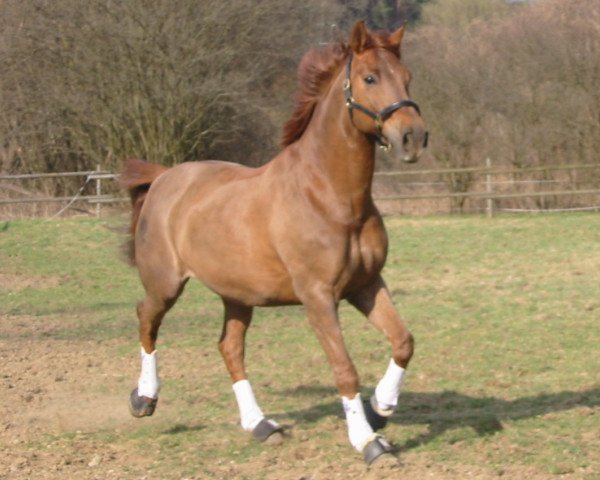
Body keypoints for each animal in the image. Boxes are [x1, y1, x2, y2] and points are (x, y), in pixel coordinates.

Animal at [120, 21, 426, 464]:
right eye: (370, 78)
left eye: (407, 77)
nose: (413, 137)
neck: (330, 196)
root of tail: (164, 177)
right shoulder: (318, 297)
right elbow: (344, 368)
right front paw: (368, 442)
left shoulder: (366, 285)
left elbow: (403, 342)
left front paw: (379, 409)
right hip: (165, 283)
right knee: (147, 319)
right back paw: (144, 399)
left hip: (237, 295)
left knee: (230, 348)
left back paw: (262, 425)